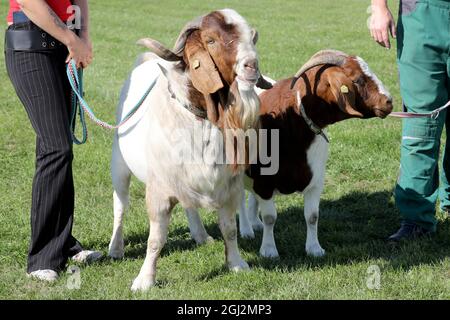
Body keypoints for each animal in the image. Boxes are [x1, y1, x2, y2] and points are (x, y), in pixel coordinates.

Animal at [108, 8, 270, 292]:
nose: (252, 66)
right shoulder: (159, 190)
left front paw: (237, 264)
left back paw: (201, 235)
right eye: (211, 40)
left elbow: (229, 229)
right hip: (120, 164)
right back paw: (115, 248)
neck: (202, 119)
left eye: (250, 36)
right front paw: (144, 280)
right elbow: (156, 239)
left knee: (188, 205)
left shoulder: (230, 187)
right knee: (120, 205)